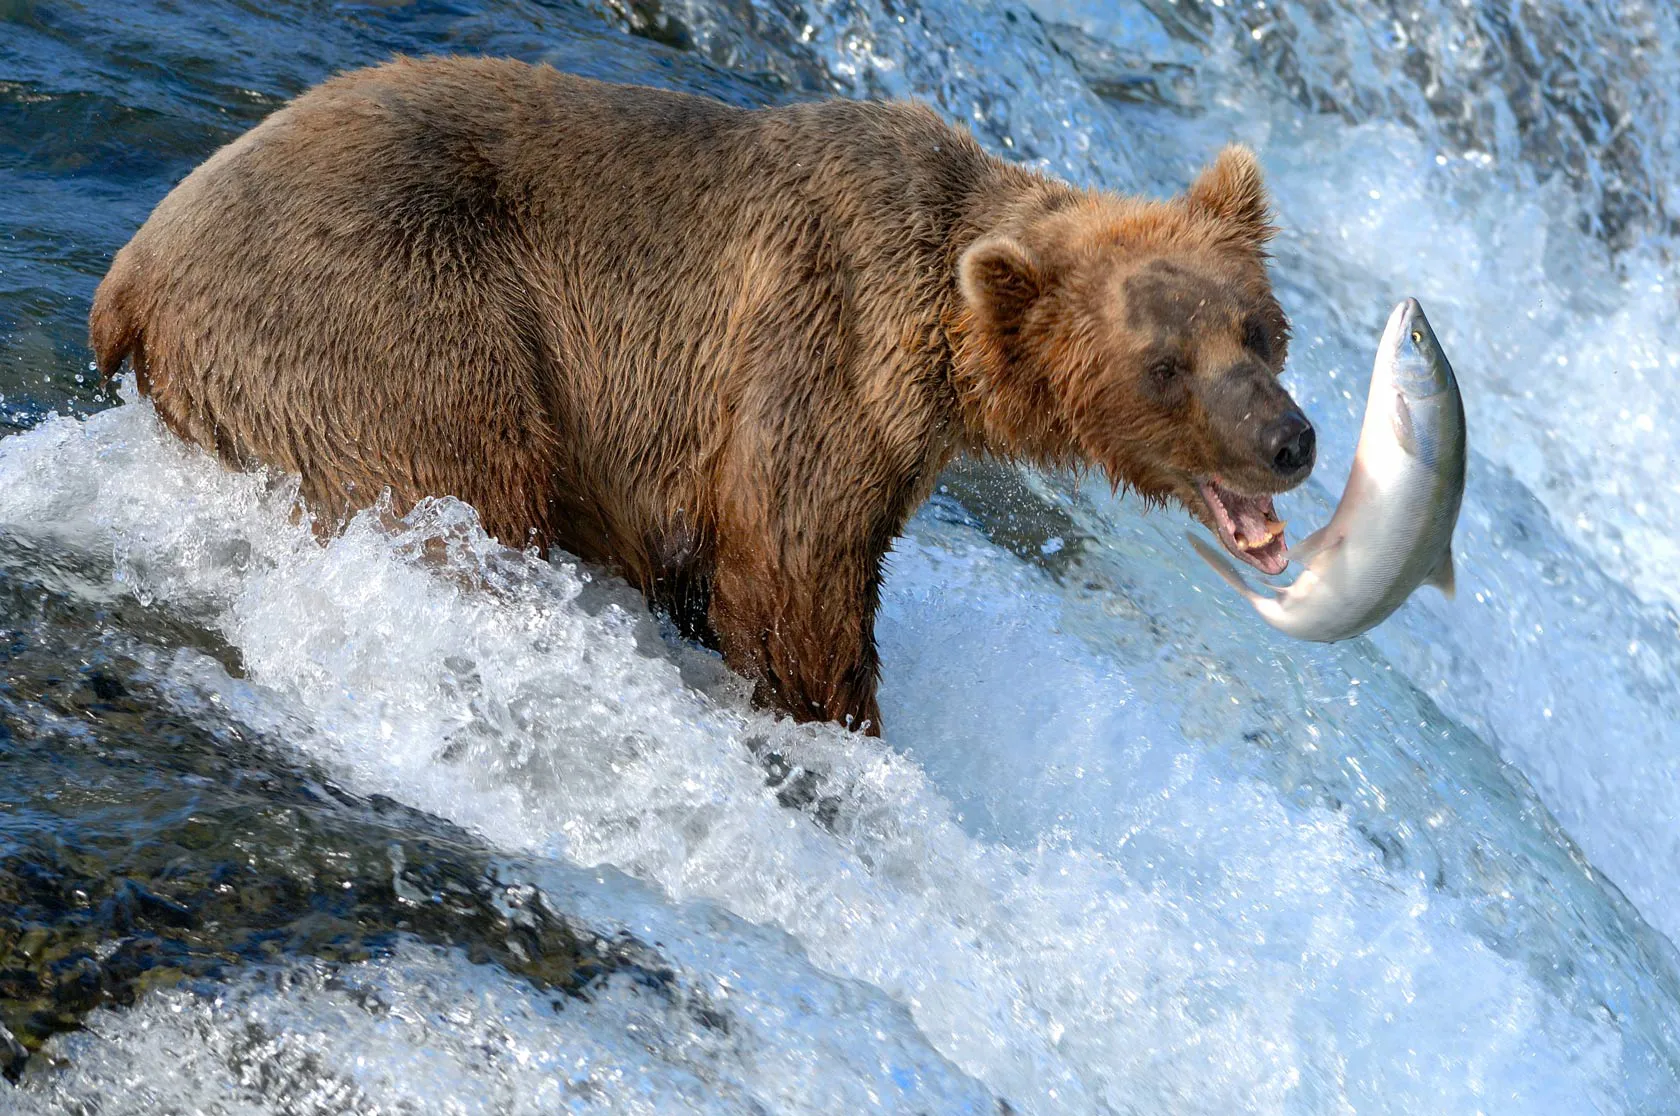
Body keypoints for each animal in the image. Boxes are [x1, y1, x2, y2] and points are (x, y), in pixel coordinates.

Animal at [89, 56, 1315, 735]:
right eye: (1165, 364)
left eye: (1259, 329)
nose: (1290, 439)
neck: (944, 342)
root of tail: (133, 270)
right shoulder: (812, 349)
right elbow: (791, 574)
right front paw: (837, 723)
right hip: (389, 307)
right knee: (452, 486)